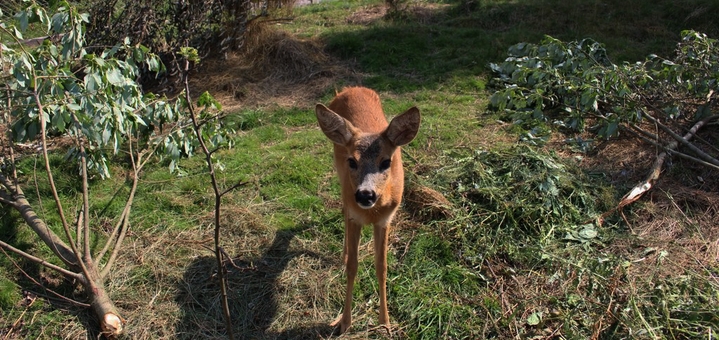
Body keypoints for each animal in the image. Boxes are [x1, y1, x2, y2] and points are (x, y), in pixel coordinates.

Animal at [316, 86, 422, 334]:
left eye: (386, 162)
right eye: (352, 161)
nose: (365, 195)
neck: (371, 213)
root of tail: (349, 89)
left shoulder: (385, 220)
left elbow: (382, 267)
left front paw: (385, 321)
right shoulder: (355, 216)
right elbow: (352, 267)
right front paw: (344, 323)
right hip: (340, 178)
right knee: (344, 209)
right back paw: (344, 253)